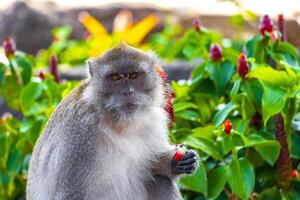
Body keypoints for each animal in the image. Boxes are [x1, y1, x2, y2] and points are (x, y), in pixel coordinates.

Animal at [26, 43, 199, 199]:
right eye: (115, 77)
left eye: (134, 75)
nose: (127, 92)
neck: (118, 122)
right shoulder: (80, 135)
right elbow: (71, 194)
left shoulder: (153, 120)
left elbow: (153, 166)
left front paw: (175, 162)